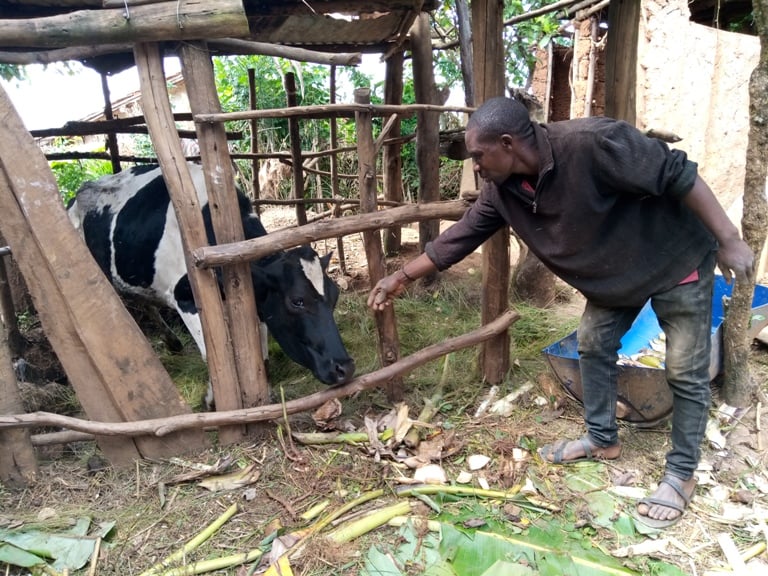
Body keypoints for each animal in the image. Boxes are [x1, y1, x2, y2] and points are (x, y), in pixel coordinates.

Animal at [67, 162, 356, 404]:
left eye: (335, 296)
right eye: (297, 301)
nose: (345, 367)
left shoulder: (256, 297)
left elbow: (260, 352)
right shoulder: (185, 297)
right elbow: (210, 354)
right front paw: (212, 399)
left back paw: (172, 342)